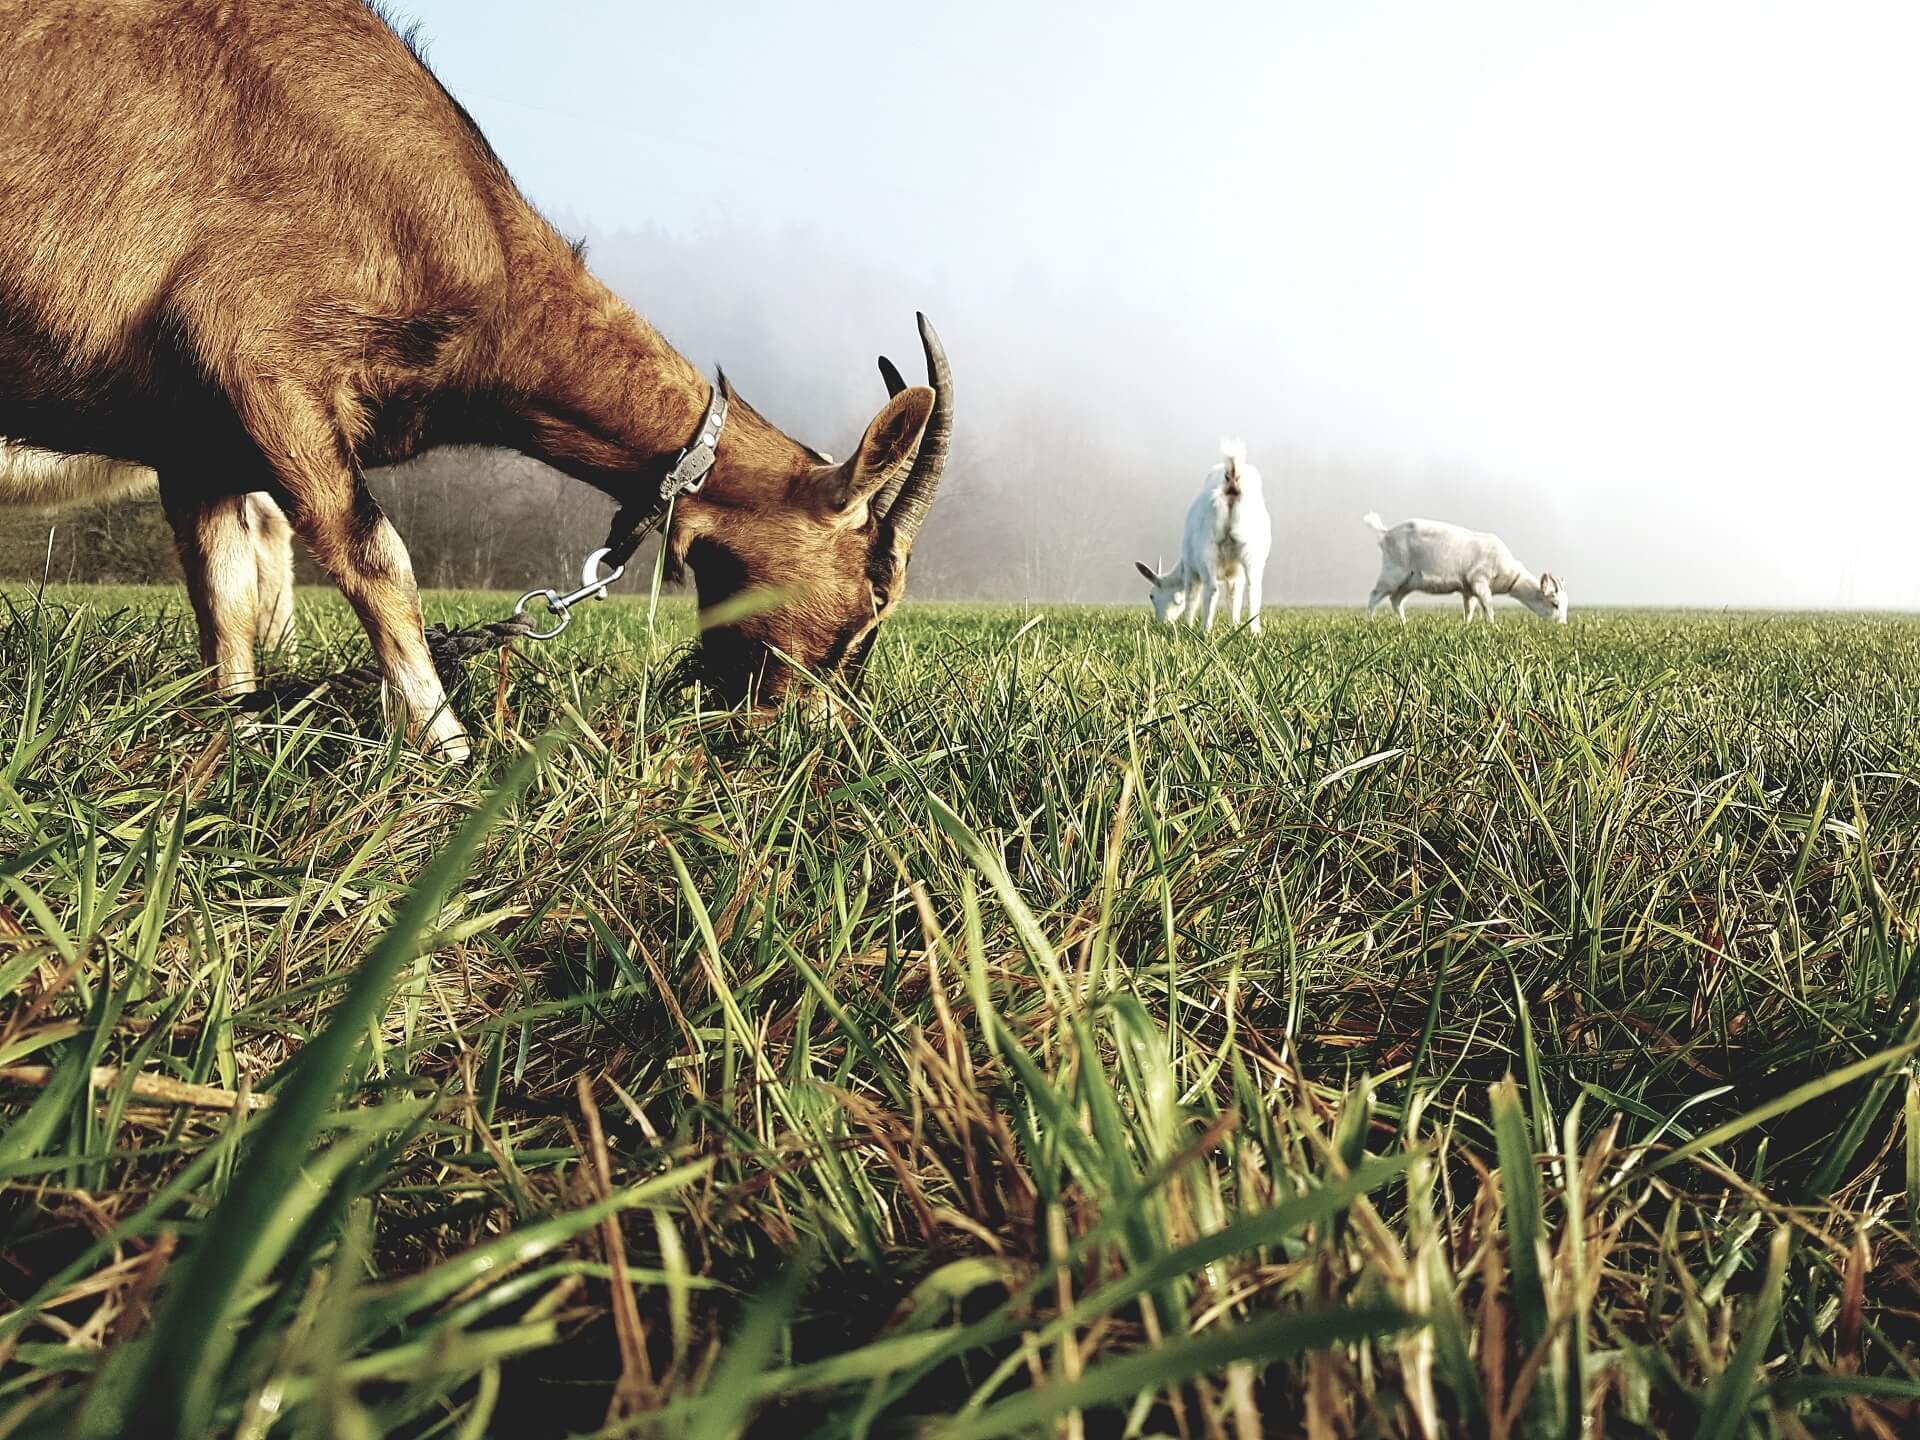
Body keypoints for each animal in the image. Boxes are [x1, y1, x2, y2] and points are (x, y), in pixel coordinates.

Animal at [1128, 443, 1267, 633]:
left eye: (1152, 595)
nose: (1161, 623)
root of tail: (1231, 482)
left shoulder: (1190, 569)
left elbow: (1191, 597)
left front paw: (1187, 625)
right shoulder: (1235, 574)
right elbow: (1234, 598)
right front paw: (1235, 625)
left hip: (1207, 551)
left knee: (1212, 589)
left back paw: (1205, 630)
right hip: (1252, 551)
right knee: (1254, 590)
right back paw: (1255, 632)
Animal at [1359, 514, 1566, 625]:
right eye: (1554, 603)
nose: (1562, 625)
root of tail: (1385, 533)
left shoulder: (1468, 589)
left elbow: (1469, 609)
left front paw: (1466, 626)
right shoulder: (1479, 580)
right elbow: (1488, 606)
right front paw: (1493, 626)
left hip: (1408, 582)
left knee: (1396, 599)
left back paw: (1404, 624)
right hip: (1393, 572)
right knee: (1374, 594)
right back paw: (1370, 622)